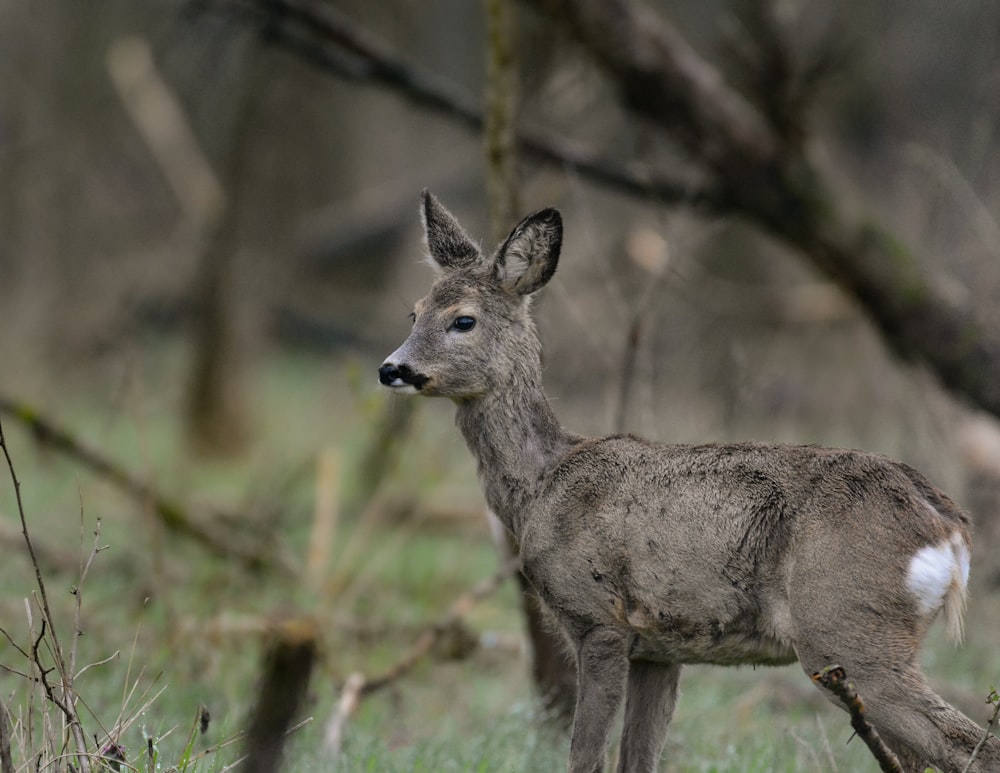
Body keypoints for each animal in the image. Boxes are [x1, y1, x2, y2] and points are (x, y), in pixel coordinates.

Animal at [376, 188, 1000, 772]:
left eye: (463, 319)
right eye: (414, 313)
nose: (392, 369)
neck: (541, 484)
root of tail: (948, 526)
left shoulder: (598, 620)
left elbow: (586, 757)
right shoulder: (659, 648)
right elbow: (638, 758)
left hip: (849, 628)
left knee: (971, 746)